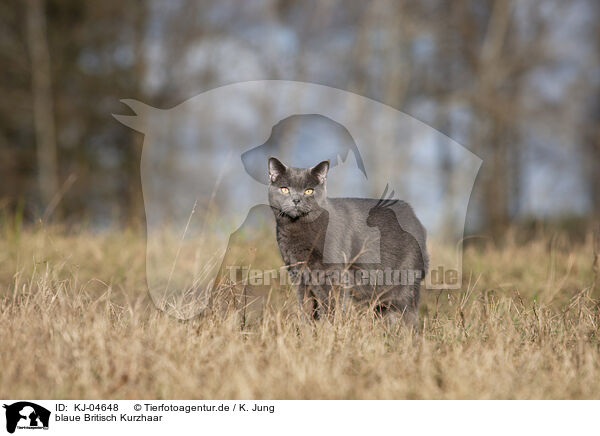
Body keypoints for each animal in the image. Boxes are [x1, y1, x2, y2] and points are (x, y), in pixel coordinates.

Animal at [270, 157, 428, 328]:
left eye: (309, 191)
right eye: (285, 189)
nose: (296, 200)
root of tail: (416, 219)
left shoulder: (334, 274)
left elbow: (332, 306)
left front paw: (329, 330)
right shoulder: (297, 274)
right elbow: (305, 308)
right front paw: (307, 331)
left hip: (403, 285)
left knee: (409, 318)